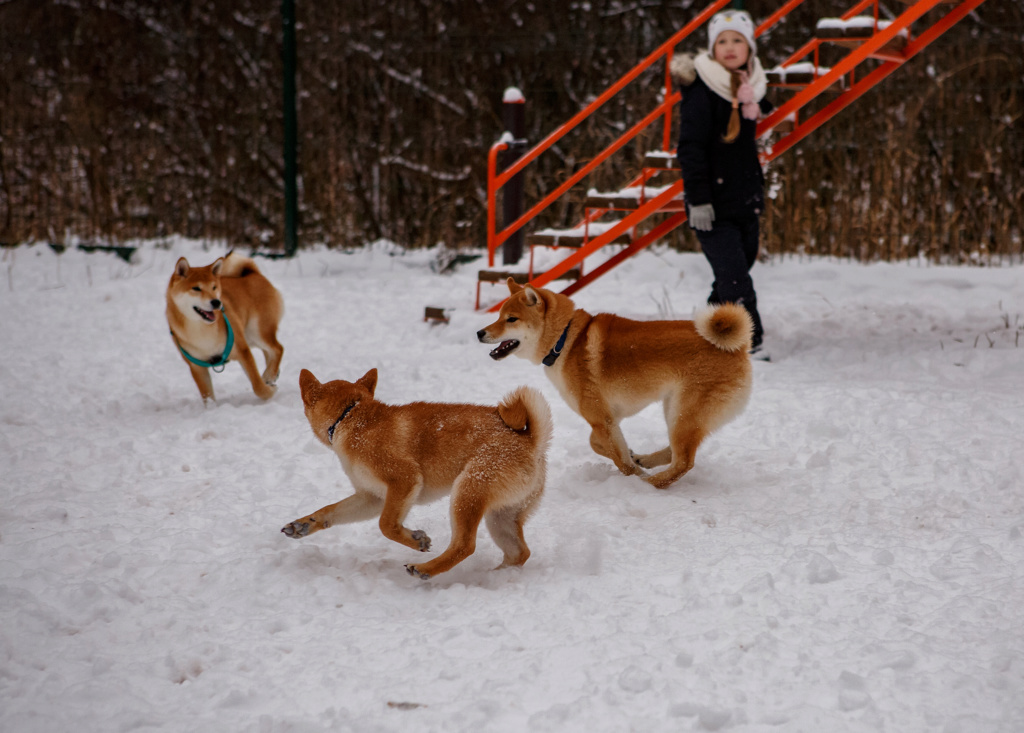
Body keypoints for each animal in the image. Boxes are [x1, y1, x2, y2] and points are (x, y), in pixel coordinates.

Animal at [164, 250, 284, 401]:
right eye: (196, 288)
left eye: (214, 287)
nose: (216, 302)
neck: (201, 330)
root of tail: (252, 273)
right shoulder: (197, 367)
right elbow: (207, 396)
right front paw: (211, 407)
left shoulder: (242, 351)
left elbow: (258, 387)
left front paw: (269, 391)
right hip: (250, 337)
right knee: (269, 351)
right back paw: (272, 373)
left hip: (257, 332)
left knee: (278, 348)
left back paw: (269, 375)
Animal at [280, 368, 552, 581]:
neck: (351, 417)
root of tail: (532, 441)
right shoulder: (372, 497)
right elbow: (330, 511)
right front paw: (303, 524)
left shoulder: (403, 479)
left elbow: (387, 525)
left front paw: (416, 540)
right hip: (501, 516)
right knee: (519, 552)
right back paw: (496, 576)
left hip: (468, 492)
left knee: (465, 546)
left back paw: (426, 569)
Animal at [477, 278, 753, 489]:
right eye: (499, 316)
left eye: (511, 319)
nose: (480, 332)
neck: (565, 341)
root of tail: (738, 348)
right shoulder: (609, 418)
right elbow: (600, 444)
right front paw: (630, 458)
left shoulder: (600, 417)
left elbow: (615, 456)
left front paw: (632, 474)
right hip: (675, 408)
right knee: (677, 453)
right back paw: (646, 460)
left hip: (684, 413)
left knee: (684, 461)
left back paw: (650, 484)